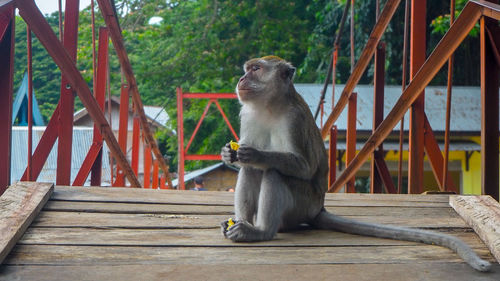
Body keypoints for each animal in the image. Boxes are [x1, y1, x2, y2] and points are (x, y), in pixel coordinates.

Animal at [220, 55, 492, 272]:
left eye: (256, 69)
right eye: (248, 68)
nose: (242, 79)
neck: (270, 106)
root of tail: (318, 208)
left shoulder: (293, 119)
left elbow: (303, 166)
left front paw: (256, 154)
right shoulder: (248, 115)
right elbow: (245, 162)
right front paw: (228, 154)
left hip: (301, 205)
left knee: (274, 173)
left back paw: (260, 231)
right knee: (252, 173)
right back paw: (242, 225)